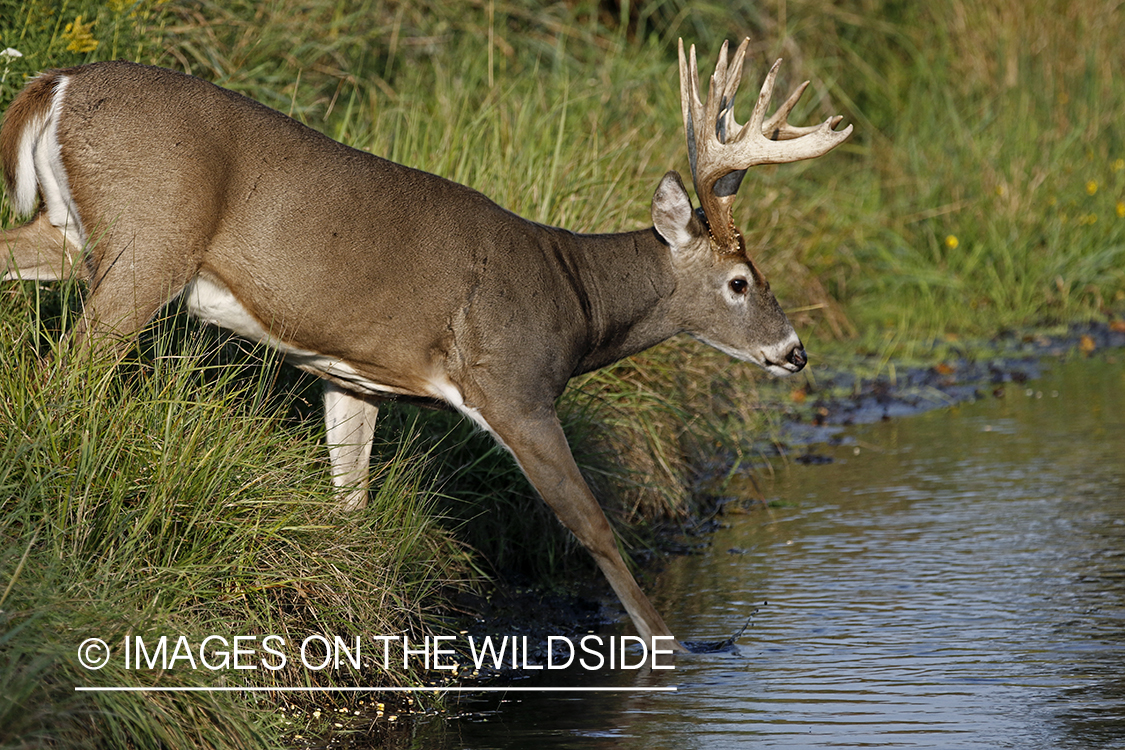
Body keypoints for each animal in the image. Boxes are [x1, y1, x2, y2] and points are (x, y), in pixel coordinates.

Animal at [0, 39, 846, 652]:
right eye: (740, 281)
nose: (795, 352)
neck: (573, 300)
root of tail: (58, 80)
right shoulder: (513, 384)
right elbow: (591, 525)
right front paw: (673, 648)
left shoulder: (355, 377)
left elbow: (350, 500)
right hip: (151, 242)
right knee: (64, 372)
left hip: (73, 234)